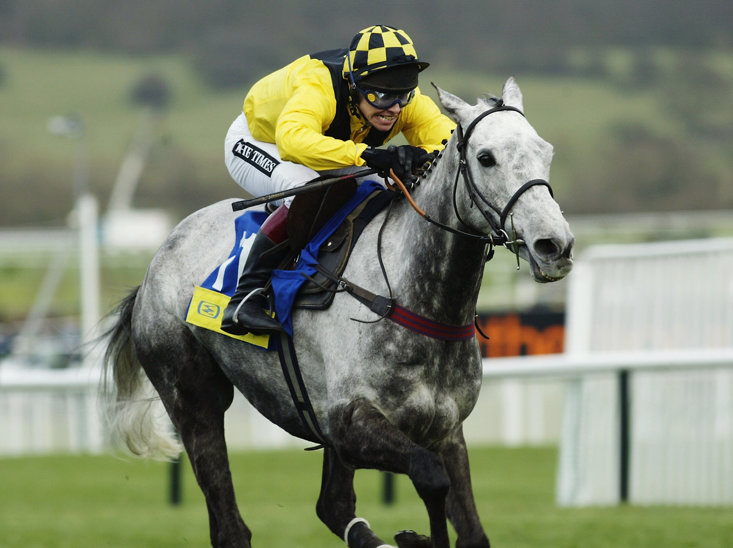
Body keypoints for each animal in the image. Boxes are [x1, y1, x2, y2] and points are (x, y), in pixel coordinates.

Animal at [103, 78, 576, 548]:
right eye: (486, 157)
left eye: (546, 150)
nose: (555, 245)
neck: (414, 298)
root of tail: (159, 257)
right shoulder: (349, 423)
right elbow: (431, 477)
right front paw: (418, 537)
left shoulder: (444, 428)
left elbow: (471, 530)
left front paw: (414, 537)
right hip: (194, 398)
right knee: (230, 526)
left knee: (332, 506)